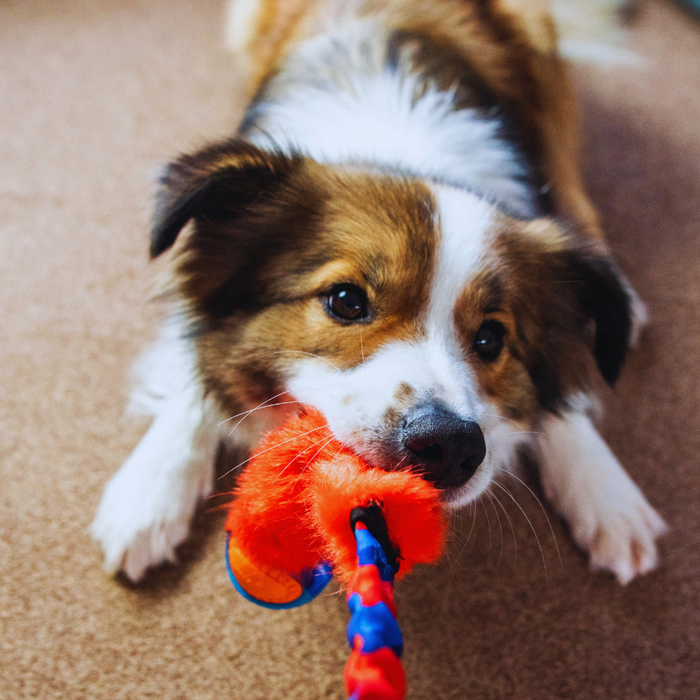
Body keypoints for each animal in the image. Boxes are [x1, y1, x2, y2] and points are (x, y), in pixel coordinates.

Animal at [90, 0, 664, 584]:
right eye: (345, 301)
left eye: (490, 339)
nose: (450, 446)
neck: (398, 156)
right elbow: (191, 370)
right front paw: (150, 491)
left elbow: (567, 397)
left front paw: (604, 489)